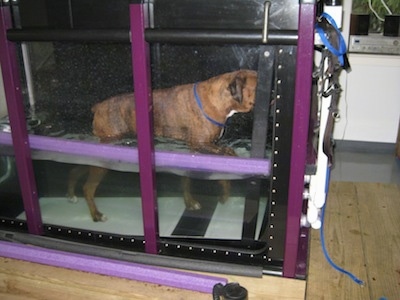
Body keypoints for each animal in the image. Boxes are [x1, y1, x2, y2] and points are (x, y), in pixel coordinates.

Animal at [67, 69, 258, 220]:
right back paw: (96, 215)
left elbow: (187, 179)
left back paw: (71, 195)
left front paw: (190, 202)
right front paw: (226, 190)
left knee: (76, 170)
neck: (217, 99)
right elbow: (228, 156)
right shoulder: (203, 146)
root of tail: (98, 106)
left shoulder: (194, 149)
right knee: (88, 188)